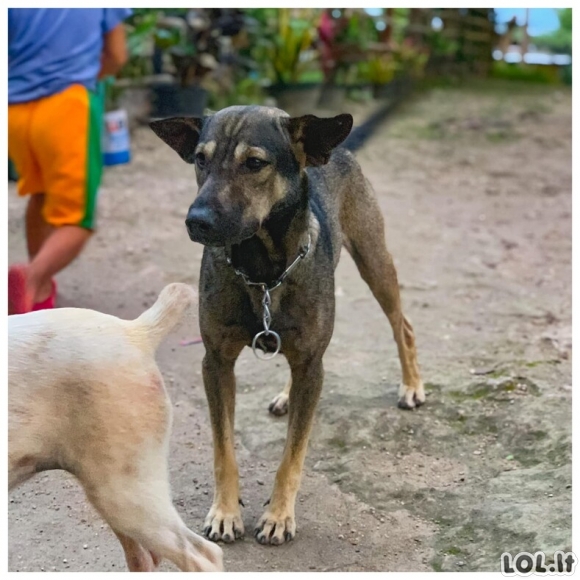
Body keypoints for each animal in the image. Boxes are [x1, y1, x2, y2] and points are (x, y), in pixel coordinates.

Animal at [150, 106, 422, 548]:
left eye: (254, 163)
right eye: (200, 159)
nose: (196, 221)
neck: (262, 267)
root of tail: (335, 146)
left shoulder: (312, 363)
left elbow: (292, 455)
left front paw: (278, 516)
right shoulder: (216, 362)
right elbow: (223, 449)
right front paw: (225, 511)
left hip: (374, 259)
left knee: (404, 325)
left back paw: (412, 384)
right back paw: (285, 396)